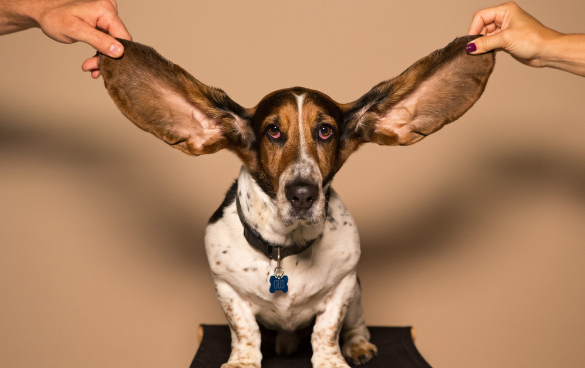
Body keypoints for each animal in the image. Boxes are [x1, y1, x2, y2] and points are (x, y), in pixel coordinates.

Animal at [99, 35, 492, 368]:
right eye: (273, 131)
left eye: (325, 130)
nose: (303, 193)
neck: (285, 247)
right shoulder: (226, 289)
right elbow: (244, 330)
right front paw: (243, 361)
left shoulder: (344, 285)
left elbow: (326, 330)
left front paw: (332, 361)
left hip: (358, 295)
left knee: (356, 325)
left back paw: (357, 345)